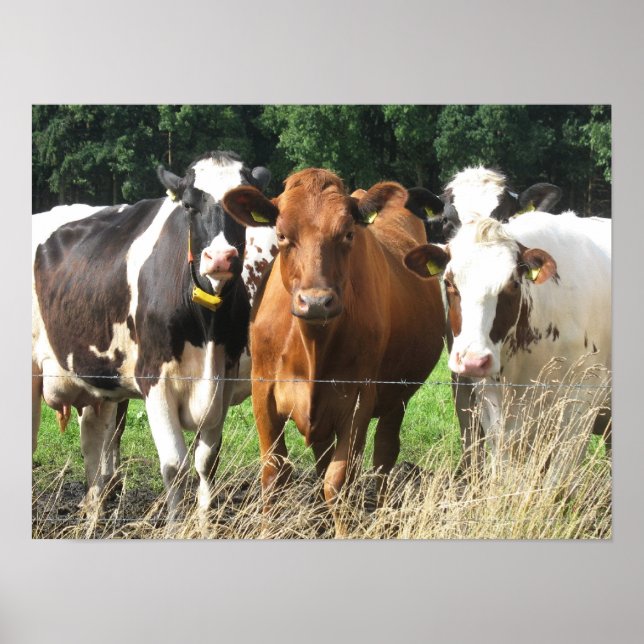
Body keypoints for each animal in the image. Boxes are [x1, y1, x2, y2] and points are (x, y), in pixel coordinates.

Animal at [32, 150, 272, 520]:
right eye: (188, 205)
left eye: (242, 208)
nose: (220, 258)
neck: (207, 327)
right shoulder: (153, 380)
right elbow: (175, 466)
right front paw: (175, 524)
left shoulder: (222, 383)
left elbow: (206, 463)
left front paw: (204, 524)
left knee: (94, 448)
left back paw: (95, 513)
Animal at [223, 169, 446, 534]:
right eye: (281, 235)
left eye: (348, 233)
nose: (315, 301)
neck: (312, 343)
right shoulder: (263, 392)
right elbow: (274, 473)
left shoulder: (357, 399)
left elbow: (338, 482)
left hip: (396, 396)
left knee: (384, 454)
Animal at [404, 211, 611, 491]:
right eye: (448, 282)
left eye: (513, 284)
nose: (473, 360)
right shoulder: (489, 402)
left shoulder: (582, 402)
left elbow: (554, 482)